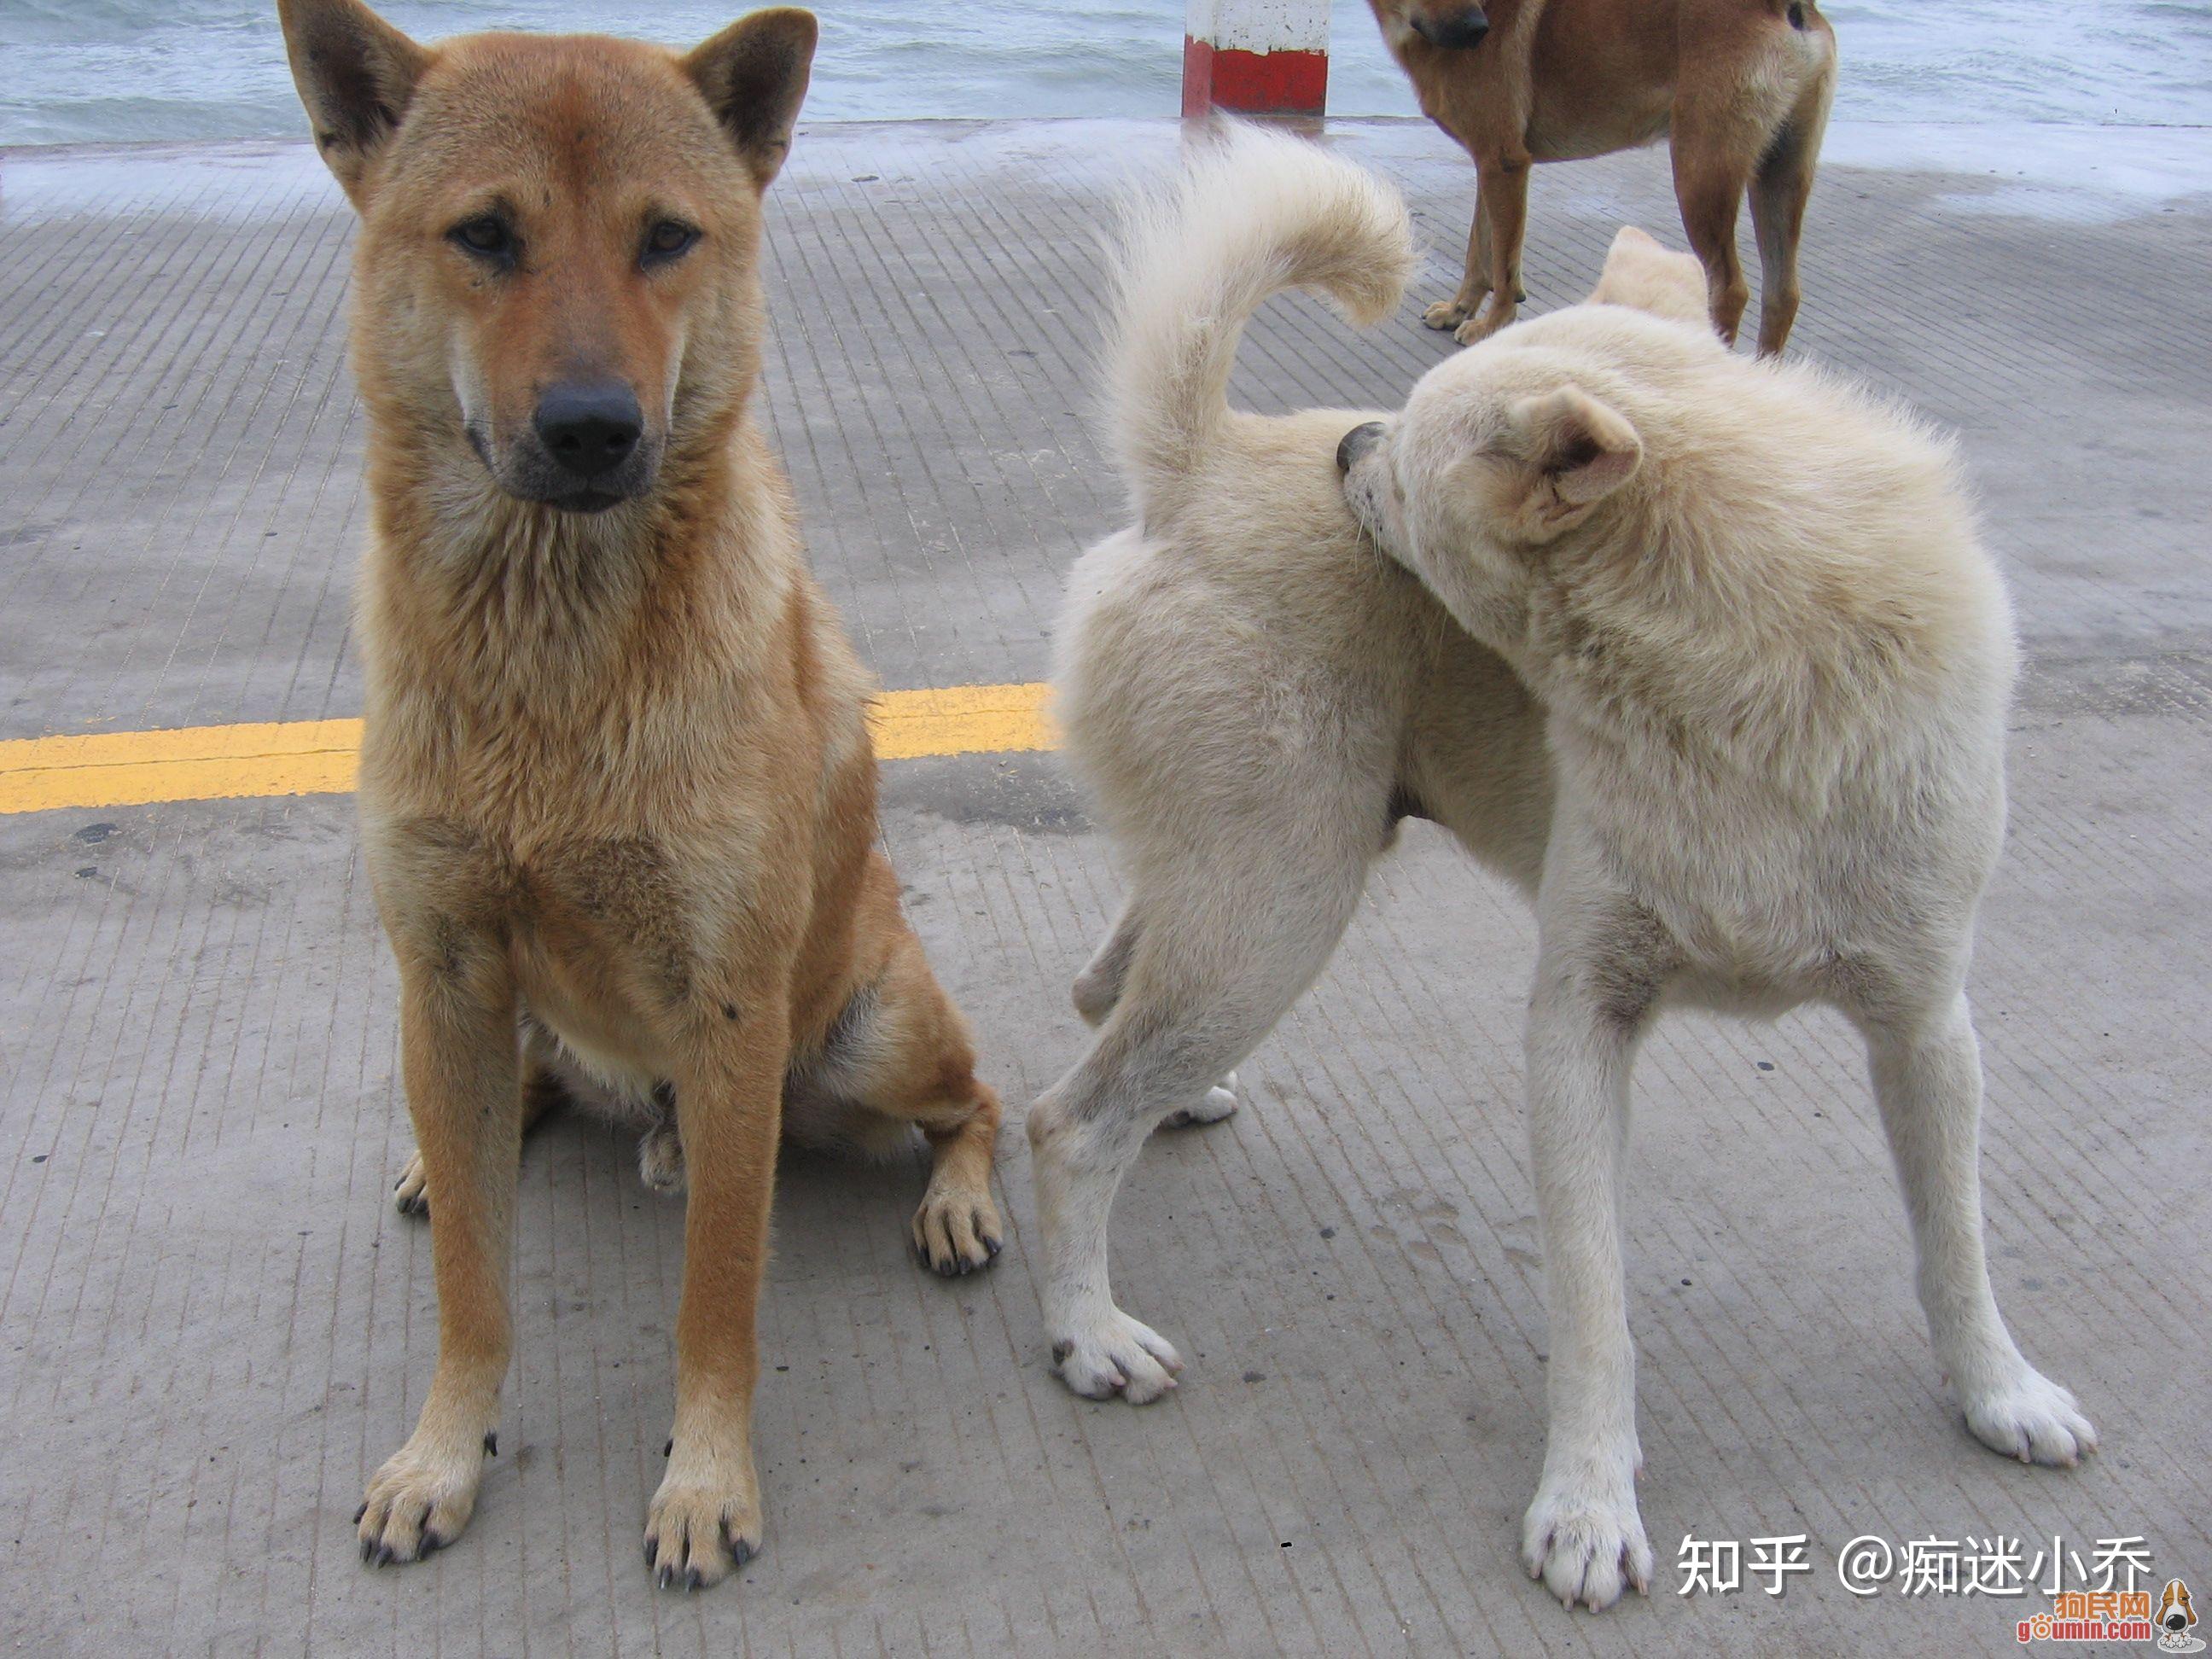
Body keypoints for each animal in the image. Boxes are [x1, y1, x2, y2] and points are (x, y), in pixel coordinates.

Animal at [281, 0, 1008, 1592]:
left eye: (668, 238)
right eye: (484, 234)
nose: (594, 427)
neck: (551, 653)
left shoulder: (731, 1010)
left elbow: (717, 1296)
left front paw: (703, 1476)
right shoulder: (444, 962)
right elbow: (472, 1289)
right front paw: (443, 1450)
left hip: (870, 1036)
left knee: (978, 1098)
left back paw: (958, 1195)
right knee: (514, 1097)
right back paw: (464, 1145)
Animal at [1336, 224, 2097, 1610]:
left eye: (1406, 461)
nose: (1346, 446)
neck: (1748, 679)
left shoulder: (1929, 1024)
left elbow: (1955, 1239)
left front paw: (1998, 1389)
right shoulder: (1577, 1018)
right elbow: (1594, 1300)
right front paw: (1589, 1498)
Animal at [1371, 1, 1840, 353]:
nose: (1477, 28)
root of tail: (1786, 8)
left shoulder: (1504, 165)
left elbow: (1502, 260)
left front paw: (1493, 323)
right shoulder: (1488, 164)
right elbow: (1479, 250)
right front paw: (1459, 309)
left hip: (1700, 176)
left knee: (1730, 290)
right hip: (1781, 177)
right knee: (1782, 294)